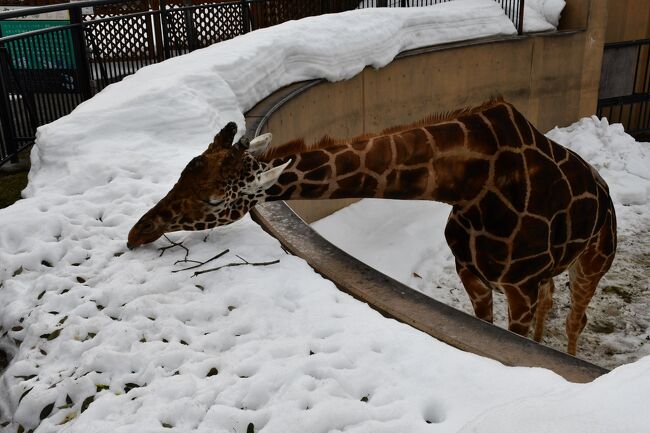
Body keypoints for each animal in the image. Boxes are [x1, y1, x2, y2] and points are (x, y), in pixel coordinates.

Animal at [128, 98, 616, 354]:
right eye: (184, 172)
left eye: (213, 198)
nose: (137, 233)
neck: (471, 184)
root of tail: (604, 189)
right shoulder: (473, 273)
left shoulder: (519, 285)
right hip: (552, 271)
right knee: (553, 303)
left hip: (592, 261)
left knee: (576, 317)